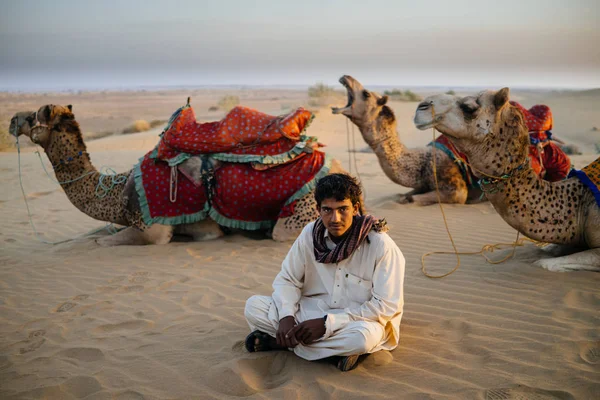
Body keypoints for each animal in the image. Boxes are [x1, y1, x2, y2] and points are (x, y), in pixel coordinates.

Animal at [10, 103, 346, 245]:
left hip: (301, 211)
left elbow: (103, 242)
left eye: (34, 115)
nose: (12, 119)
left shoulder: (154, 228)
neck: (120, 191)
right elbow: (97, 234)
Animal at [330, 75, 480, 205]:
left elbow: (410, 198)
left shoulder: (456, 188)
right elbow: (404, 195)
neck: (423, 163)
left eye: (366, 94)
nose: (346, 77)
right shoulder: (423, 184)